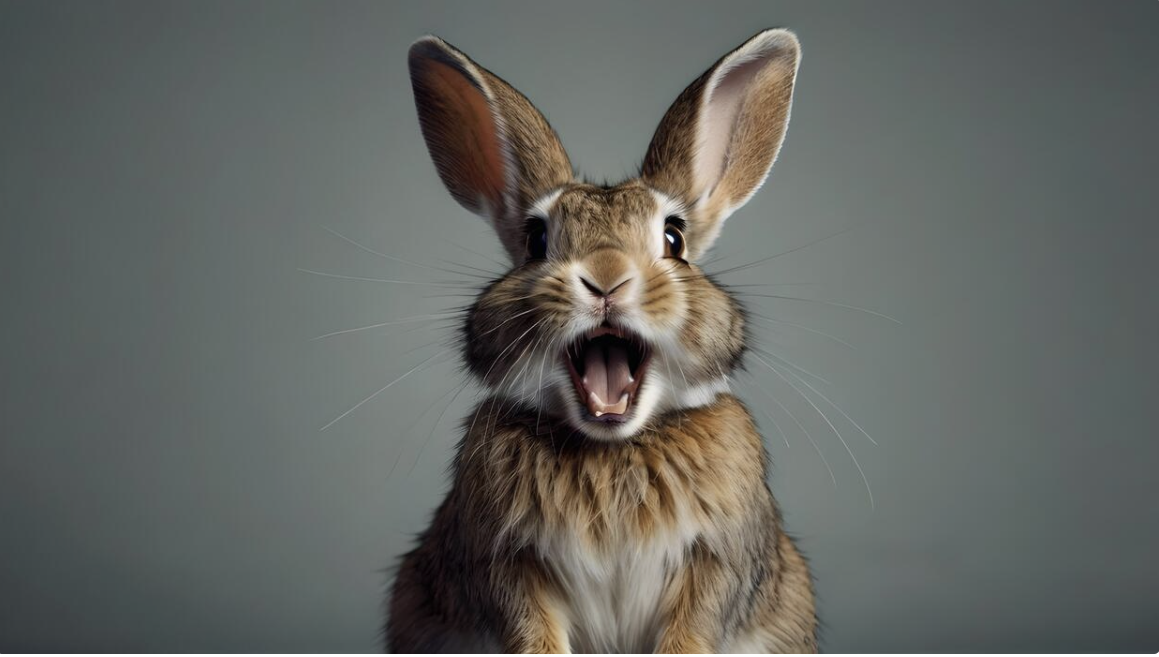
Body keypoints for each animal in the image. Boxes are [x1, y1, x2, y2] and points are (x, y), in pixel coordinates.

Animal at [387, 28, 817, 653]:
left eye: (674, 238)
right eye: (536, 240)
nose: (607, 277)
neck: (610, 448)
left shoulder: (721, 560)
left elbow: (695, 622)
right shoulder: (503, 564)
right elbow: (529, 624)